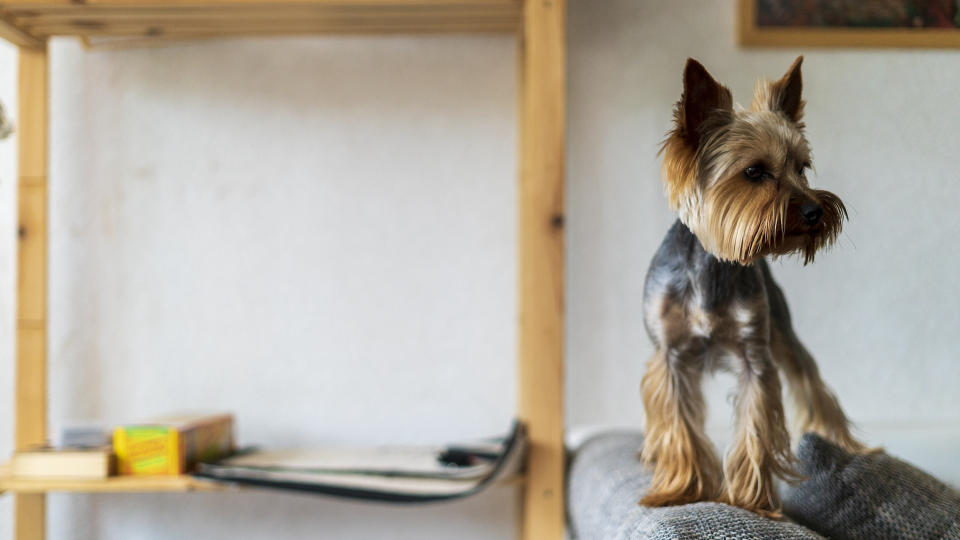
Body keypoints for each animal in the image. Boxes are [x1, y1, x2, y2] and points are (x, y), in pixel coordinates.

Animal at [640, 57, 868, 516]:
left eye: (802, 167)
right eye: (754, 172)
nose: (815, 211)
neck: (713, 264)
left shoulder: (754, 355)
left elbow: (755, 427)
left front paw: (749, 501)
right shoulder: (669, 357)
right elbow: (679, 428)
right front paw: (682, 490)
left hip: (782, 327)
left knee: (812, 384)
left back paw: (848, 446)